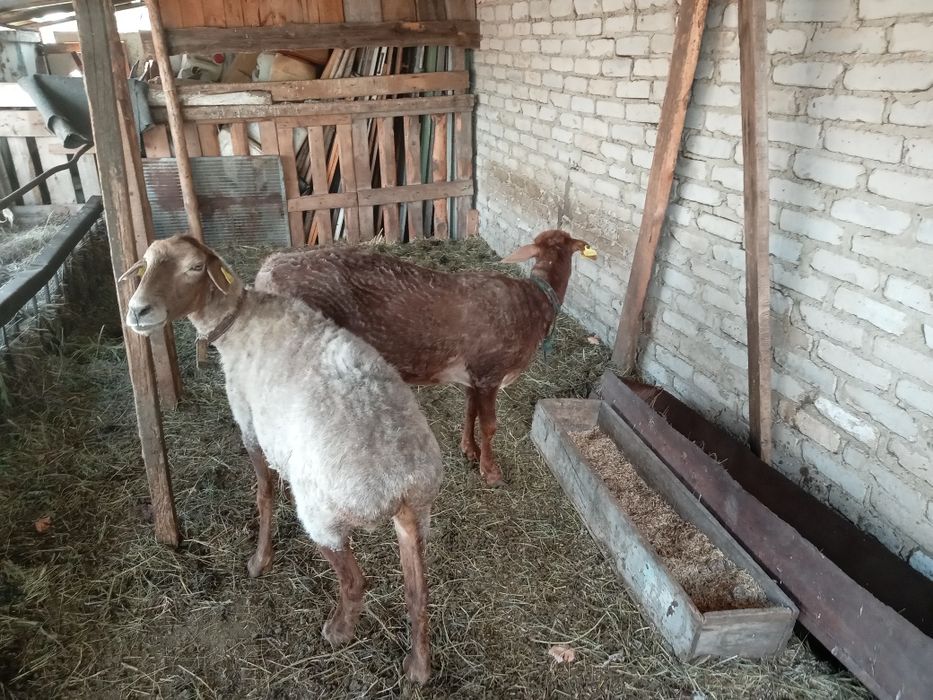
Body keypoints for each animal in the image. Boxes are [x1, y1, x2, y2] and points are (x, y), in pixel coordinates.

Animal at [120, 235, 443, 684]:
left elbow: (264, 494)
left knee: (356, 581)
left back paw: (339, 631)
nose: (138, 311)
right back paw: (418, 666)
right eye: (146, 263)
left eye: (194, 268)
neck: (239, 321)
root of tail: (400, 482)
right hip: (418, 517)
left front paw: (260, 560)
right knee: (419, 591)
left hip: (324, 514)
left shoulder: (249, 424)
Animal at [254, 228, 596, 488]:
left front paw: (468, 450)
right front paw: (491, 471)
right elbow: (490, 425)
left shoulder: (473, 375)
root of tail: (265, 273)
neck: (535, 304)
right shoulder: (490, 371)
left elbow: (469, 413)